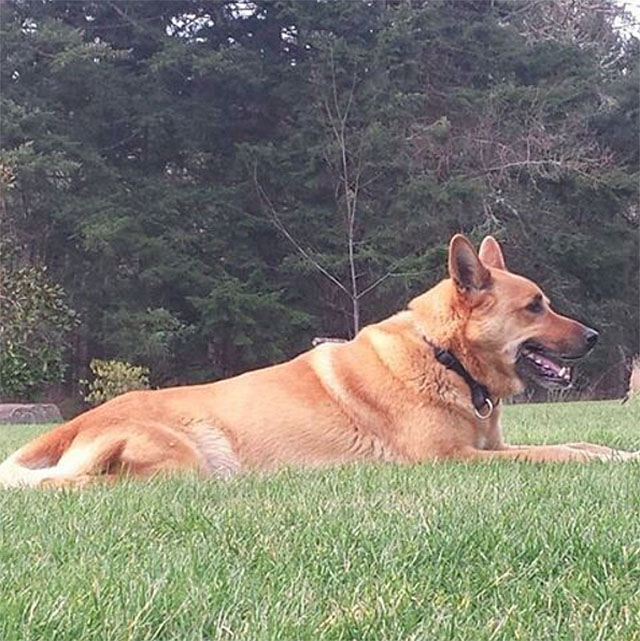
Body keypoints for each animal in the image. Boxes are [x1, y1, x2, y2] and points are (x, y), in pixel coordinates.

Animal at [0, 235, 636, 484]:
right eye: (535, 307)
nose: (596, 336)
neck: (444, 357)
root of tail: (76, 423)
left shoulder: (490, 447)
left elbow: (576, 442)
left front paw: (618, 452)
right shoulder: (450, 460)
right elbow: (555, 453)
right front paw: (600, 461)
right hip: (182, 459)